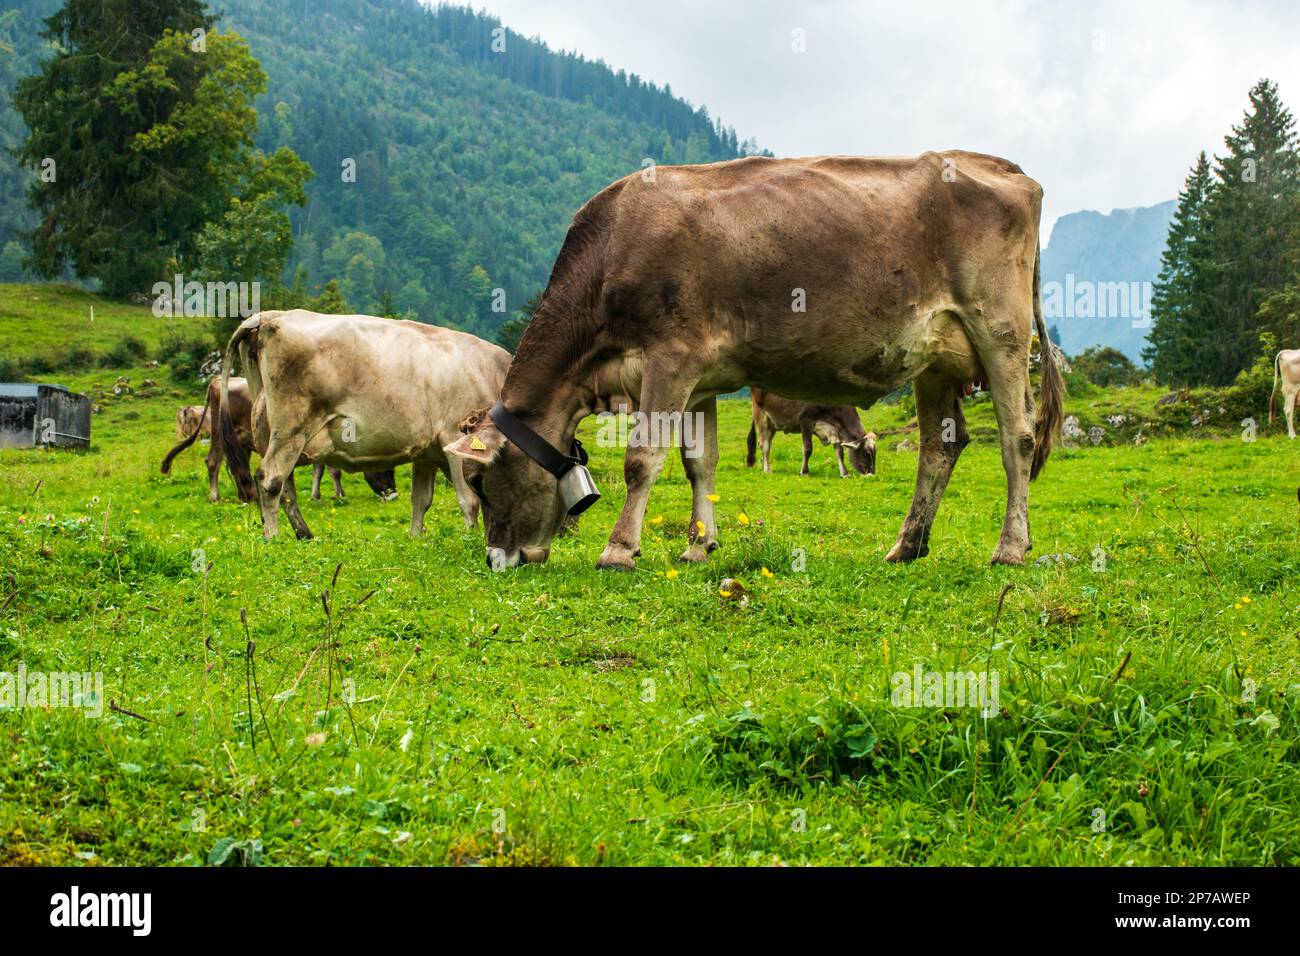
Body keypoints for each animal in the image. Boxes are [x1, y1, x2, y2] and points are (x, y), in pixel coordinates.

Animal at [218, 310, 511, 540]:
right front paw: (470, 537)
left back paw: (303, 533)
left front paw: (415, 539)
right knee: (270, 479)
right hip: (291, 429)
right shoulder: (453, 438)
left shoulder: (427, 453)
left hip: (273, 431)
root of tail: (269, 316)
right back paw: (273, 537)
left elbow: (421, 500)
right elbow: (469, 500)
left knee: (285, 486)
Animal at [745, 388, 877, 477]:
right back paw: (767, 470)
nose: (872, 474)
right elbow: (808, 449)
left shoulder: (834, 429)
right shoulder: (806, 421)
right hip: (761, 414)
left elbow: (839, 452)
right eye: (867, 454)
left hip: (773, 422)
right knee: (764, 444)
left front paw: (844, 474)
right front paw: (804, 472)